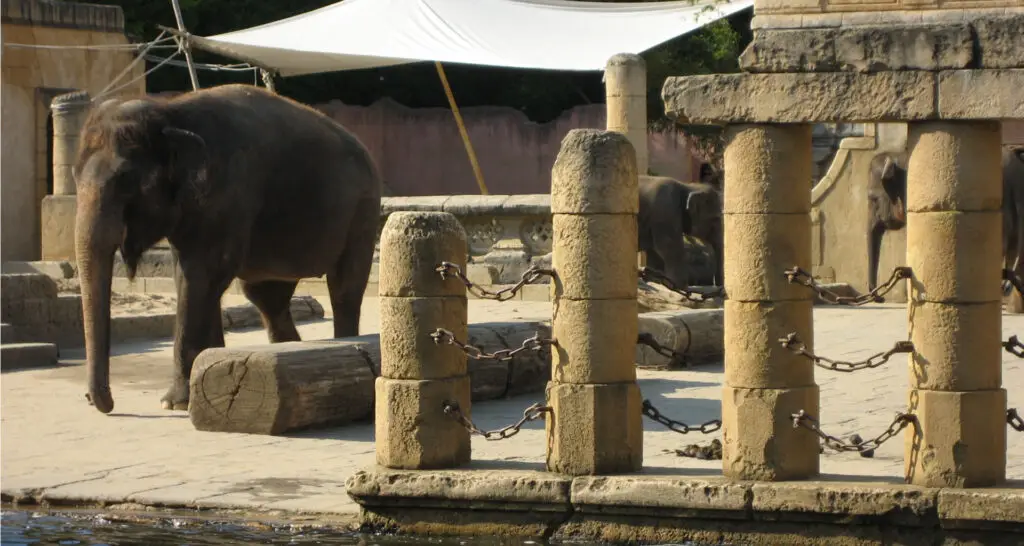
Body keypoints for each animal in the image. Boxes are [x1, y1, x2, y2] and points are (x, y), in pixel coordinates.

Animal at [72, 84, 382, 414]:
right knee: (265, 296)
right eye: (74, 177)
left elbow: (200, 277)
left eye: (125, 180)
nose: (96, 400)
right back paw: (292, 349)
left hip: (363, 212)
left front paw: (174, 403)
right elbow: (193, 279)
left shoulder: (229, 194)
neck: (170, 111)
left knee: (344, 287)